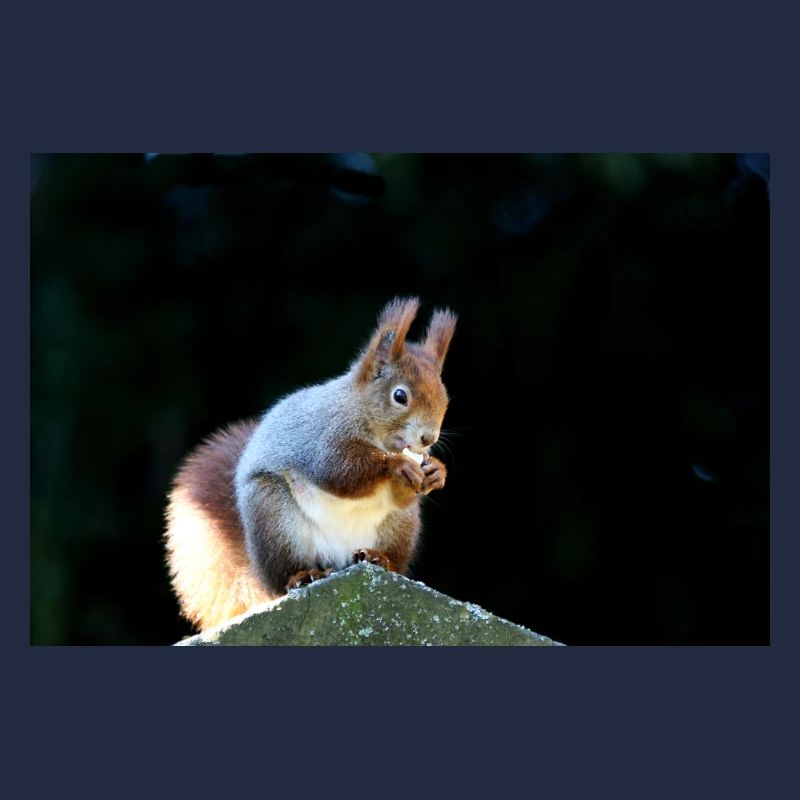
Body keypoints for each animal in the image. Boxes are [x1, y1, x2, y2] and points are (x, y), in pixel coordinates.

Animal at [164, 297, 456, 631]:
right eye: (400, 396)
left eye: (444, 397)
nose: (428, 437)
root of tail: (337, 558)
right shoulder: (322, 439)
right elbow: (340, 471)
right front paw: (395, 466)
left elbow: (402, 493)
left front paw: (436, 471)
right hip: (274, 517)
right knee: (285, 573)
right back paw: (303, 576)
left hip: (400, 525)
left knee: (392, 553)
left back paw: (379, 558)